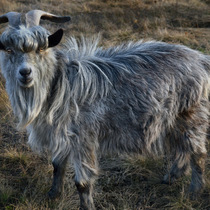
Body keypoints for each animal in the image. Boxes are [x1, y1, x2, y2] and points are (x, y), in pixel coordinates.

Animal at [0, 9, 210, 210]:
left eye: (41, 48)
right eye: (9, 50)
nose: (25, 73)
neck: (60, 86)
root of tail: (201, 59)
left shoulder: (82, 138)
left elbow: (82, 183)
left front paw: (87, 206)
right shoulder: (59, 135)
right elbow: (57, 166)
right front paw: (53, 196)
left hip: (192, 115)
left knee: (197, 153)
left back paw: (195, 191)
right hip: (173, 119)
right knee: (182, 149)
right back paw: (171, 177)